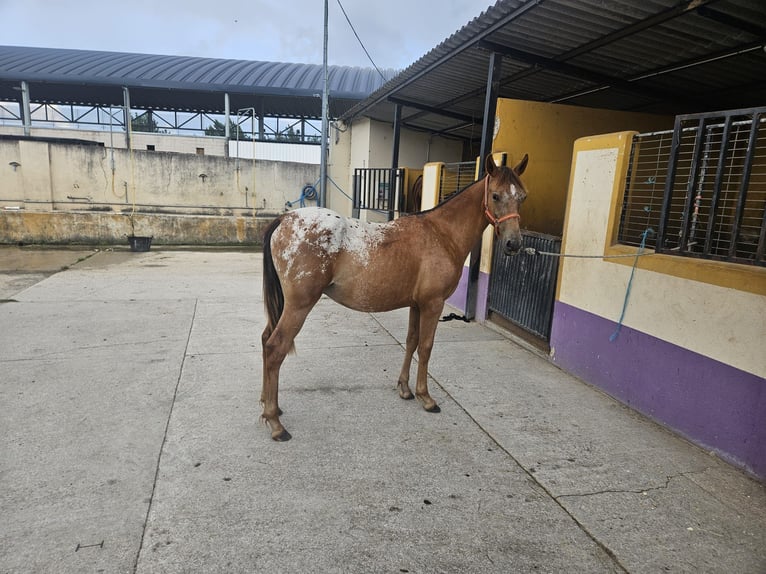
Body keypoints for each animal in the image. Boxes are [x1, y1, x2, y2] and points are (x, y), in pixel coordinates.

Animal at [260, 154, 529, 440]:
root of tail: (285, 220)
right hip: (299, 306)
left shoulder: (416, 305)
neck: (442, 233)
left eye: (522, 197)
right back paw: (275, 422)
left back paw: (267, 406)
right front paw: (426, 397)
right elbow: (426, 347)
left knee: (266, 340)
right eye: (496, 195)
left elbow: (411, 342)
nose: (514, 244)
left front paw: (405, 389)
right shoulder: (433, 305)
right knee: (275, 347)